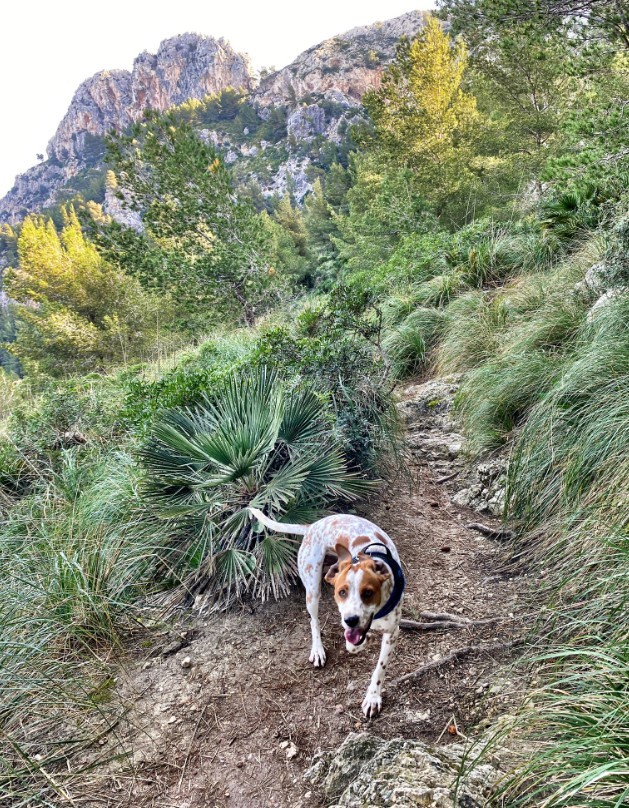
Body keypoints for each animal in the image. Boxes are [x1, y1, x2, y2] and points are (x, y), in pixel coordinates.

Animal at [245, 508, 402, 716]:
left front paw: (373, 698)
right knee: (314, 621)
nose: (351, 620)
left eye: (368, 592)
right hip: (312, 590)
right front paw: (358, 644)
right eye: (342, 592)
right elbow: (351, 644)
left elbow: (380, 669)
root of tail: (312, 525)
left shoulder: (392, 632)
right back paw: (318, 650)